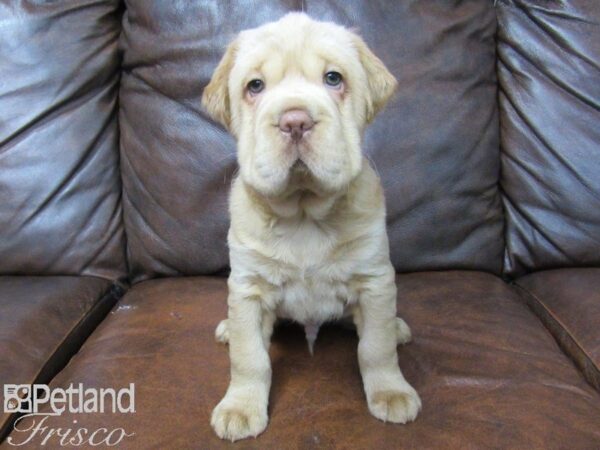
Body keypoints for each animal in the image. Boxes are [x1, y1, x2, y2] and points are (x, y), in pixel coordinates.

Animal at [204, 12, 420, 442]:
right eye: (255, 86)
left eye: (333, 78)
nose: (295, 121)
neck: (303, 214)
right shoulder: (248, 288)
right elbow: (249, 358)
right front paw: (240, 406)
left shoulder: (374, 282)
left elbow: (376, 348)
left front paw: (390, 391)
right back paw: (227, 328)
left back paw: (398, 326)